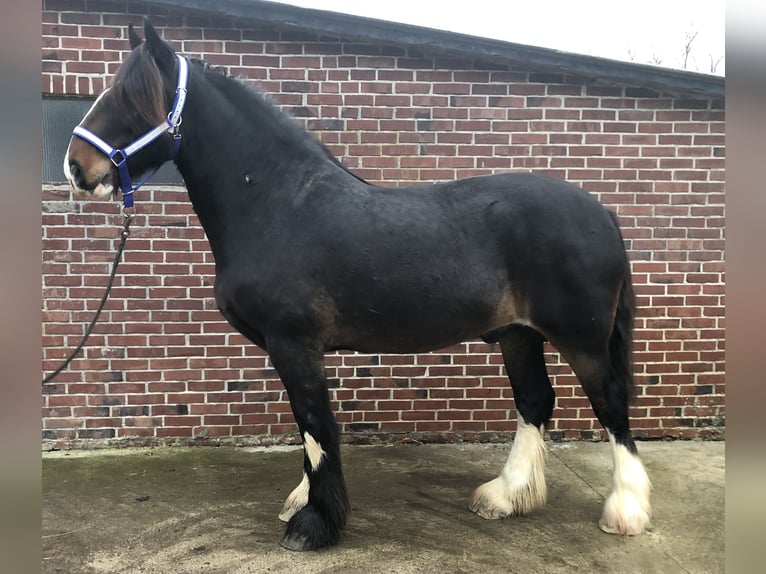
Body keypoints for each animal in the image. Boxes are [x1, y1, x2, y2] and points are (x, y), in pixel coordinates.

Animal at [63, 20, 651, 551]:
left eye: (130, 99)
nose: (74, 167)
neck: (279, 203)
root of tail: (602, 212)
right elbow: (308, 431)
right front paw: (304, 502)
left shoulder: (294, 343)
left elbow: (317, 428)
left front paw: (313, 525)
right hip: (518, 334)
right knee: (535, 401)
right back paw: (505, 496)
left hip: (582, 339)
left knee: (611, 403)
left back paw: (625, 510)